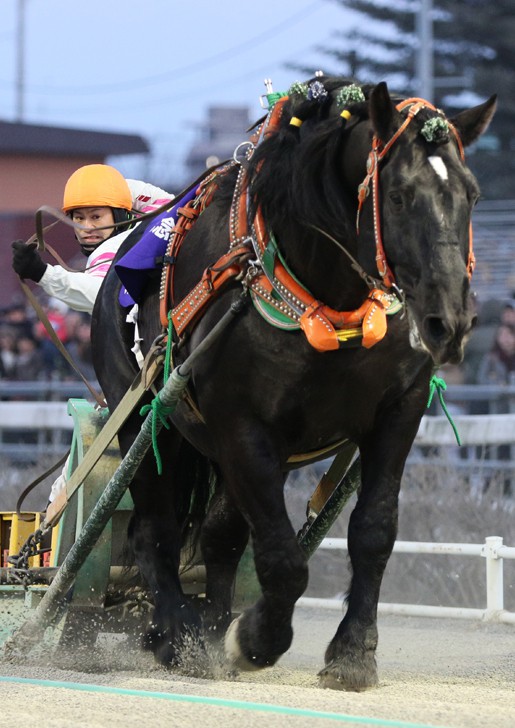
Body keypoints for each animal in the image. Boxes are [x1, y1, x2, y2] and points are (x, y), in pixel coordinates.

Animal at [91, 78, 496, 688]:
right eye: (399, 196)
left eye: (471, 195)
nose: (448, 321)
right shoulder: (241, 425)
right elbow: (282, 557)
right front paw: (256, 639)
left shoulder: (397, 410)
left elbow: (373, 531)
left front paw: (353, 651)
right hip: (145, 415)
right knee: (154, 530)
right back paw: (179, 635)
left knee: (220, 536)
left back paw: (210, 623)